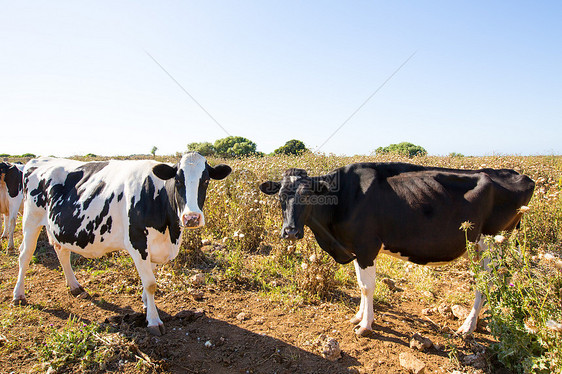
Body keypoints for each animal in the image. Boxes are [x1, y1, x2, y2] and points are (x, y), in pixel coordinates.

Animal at [14, 152, 231, 336]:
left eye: (205, 180)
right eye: (177, 180)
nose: (192, 217)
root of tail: (37, 160)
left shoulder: (153, 246)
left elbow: (149, 280)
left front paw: (147, 305)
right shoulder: (137, 242)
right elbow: (151, 283)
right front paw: (153, 321)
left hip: (58, 227)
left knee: (61, 251)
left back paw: (75, 287)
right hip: (31, 219)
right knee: (25, 254)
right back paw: (19, 295)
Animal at [260, 162, 532, 338]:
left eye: (307, 195)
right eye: (281, 196)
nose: (290, 232)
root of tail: (519, 176)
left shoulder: (366, 247)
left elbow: (367, 287)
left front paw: (366, 325)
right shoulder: (356, 249)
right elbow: (360, 284)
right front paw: (358, 316)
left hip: (491, 243)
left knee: (486, 282)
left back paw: (468, 327)